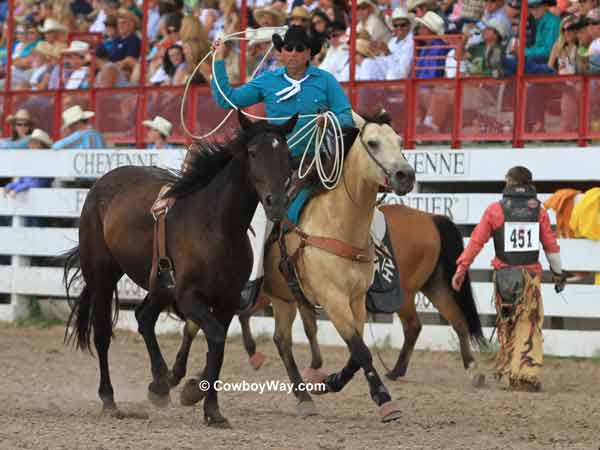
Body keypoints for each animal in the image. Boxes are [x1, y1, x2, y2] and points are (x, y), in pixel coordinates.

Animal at [64, 111, 296, 426]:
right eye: (253, 152)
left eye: (288, 156)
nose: (277, 203)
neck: (217, 225)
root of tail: (101, 185)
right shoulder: (188, 297)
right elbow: (216, 338)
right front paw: (198, 395)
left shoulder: (227, 300)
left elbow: (217, 344)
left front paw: (210, 408)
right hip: (103, 275)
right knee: (102, 333)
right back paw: (110, 399)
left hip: (160, 285)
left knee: (144, 317)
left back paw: (160, 383)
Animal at [237, 204, 486, 386]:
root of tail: (431, 218)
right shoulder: (296, 295)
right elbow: (308, 327)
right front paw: (315, 363)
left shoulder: (277, 293)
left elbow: (247, 314)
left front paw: (254, 353)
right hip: (434, 286)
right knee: (458, 321)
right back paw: (472, 370)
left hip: (403, 294)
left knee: (413, 326)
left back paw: (396, 371)